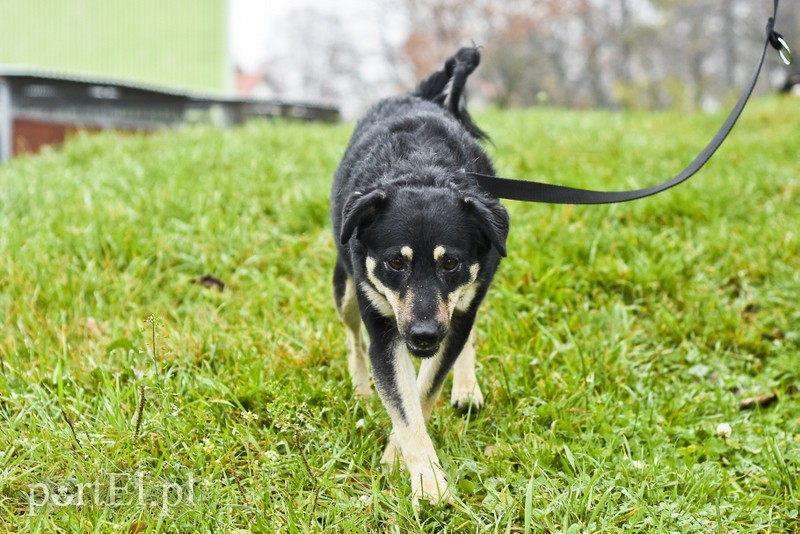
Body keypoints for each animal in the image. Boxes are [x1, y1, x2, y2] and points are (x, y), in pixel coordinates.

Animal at [332, 48, 510, 504]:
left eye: (450, 264)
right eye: (396, 263)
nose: (425, 335)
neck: (423, 169)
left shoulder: (460, 303)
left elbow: (425, 390)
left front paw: (403, 460)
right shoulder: (385, 328)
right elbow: (404, 402)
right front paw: (428, 484)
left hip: (471, 297)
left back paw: (466, 388)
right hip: (346, 290)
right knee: (352, 337)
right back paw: (361, 388)